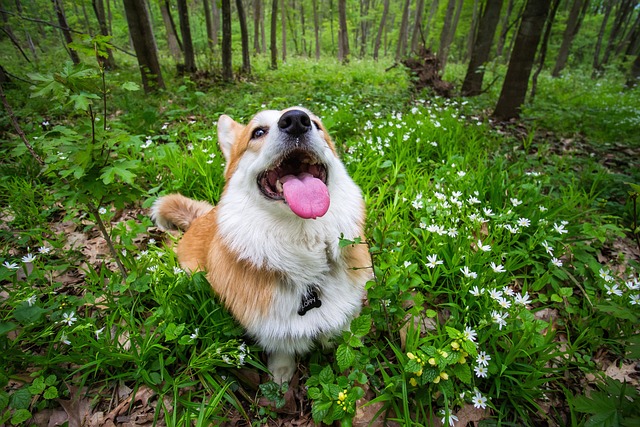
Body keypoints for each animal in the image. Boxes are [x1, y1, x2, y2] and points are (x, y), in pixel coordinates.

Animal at [153, 107, 372, 384]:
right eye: (258, 132)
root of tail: (197, 219)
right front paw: (280, 374)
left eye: (316, 123)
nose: (296, 120)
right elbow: (281, 348)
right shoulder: (271, 326)